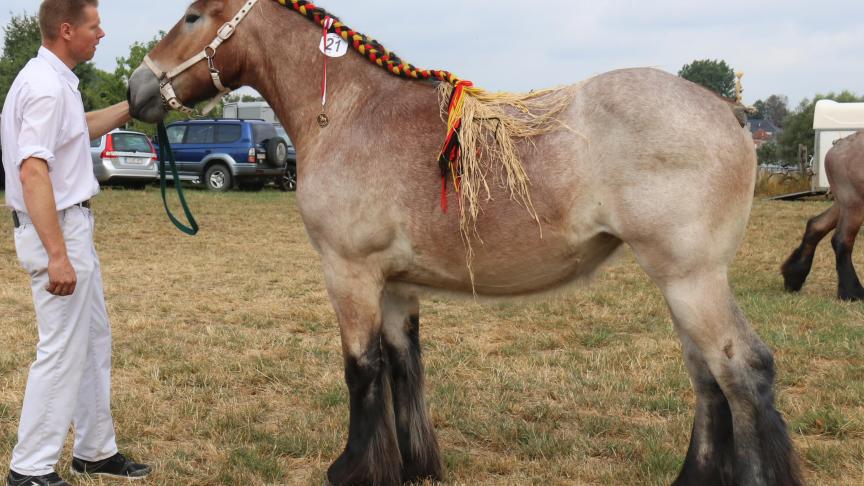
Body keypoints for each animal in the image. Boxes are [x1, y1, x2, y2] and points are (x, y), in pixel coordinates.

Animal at [126, 0, 804, 486]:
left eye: (192, 16)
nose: (136, 90)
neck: (350, 113)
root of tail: (729, 111)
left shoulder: (349, 274)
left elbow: (361, 370)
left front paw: (354, 470)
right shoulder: (396, 286)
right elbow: (404, 367)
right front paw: (413, 467)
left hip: (692, 279)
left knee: (742, 371)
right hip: (681, 284)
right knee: (707, 377)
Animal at [784, 131, 864, 302]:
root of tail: (838, 147)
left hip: (842, 203)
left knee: (816, 226)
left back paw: (794, 277)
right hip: (854, 203)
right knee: (841, 240)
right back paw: (852, 292)